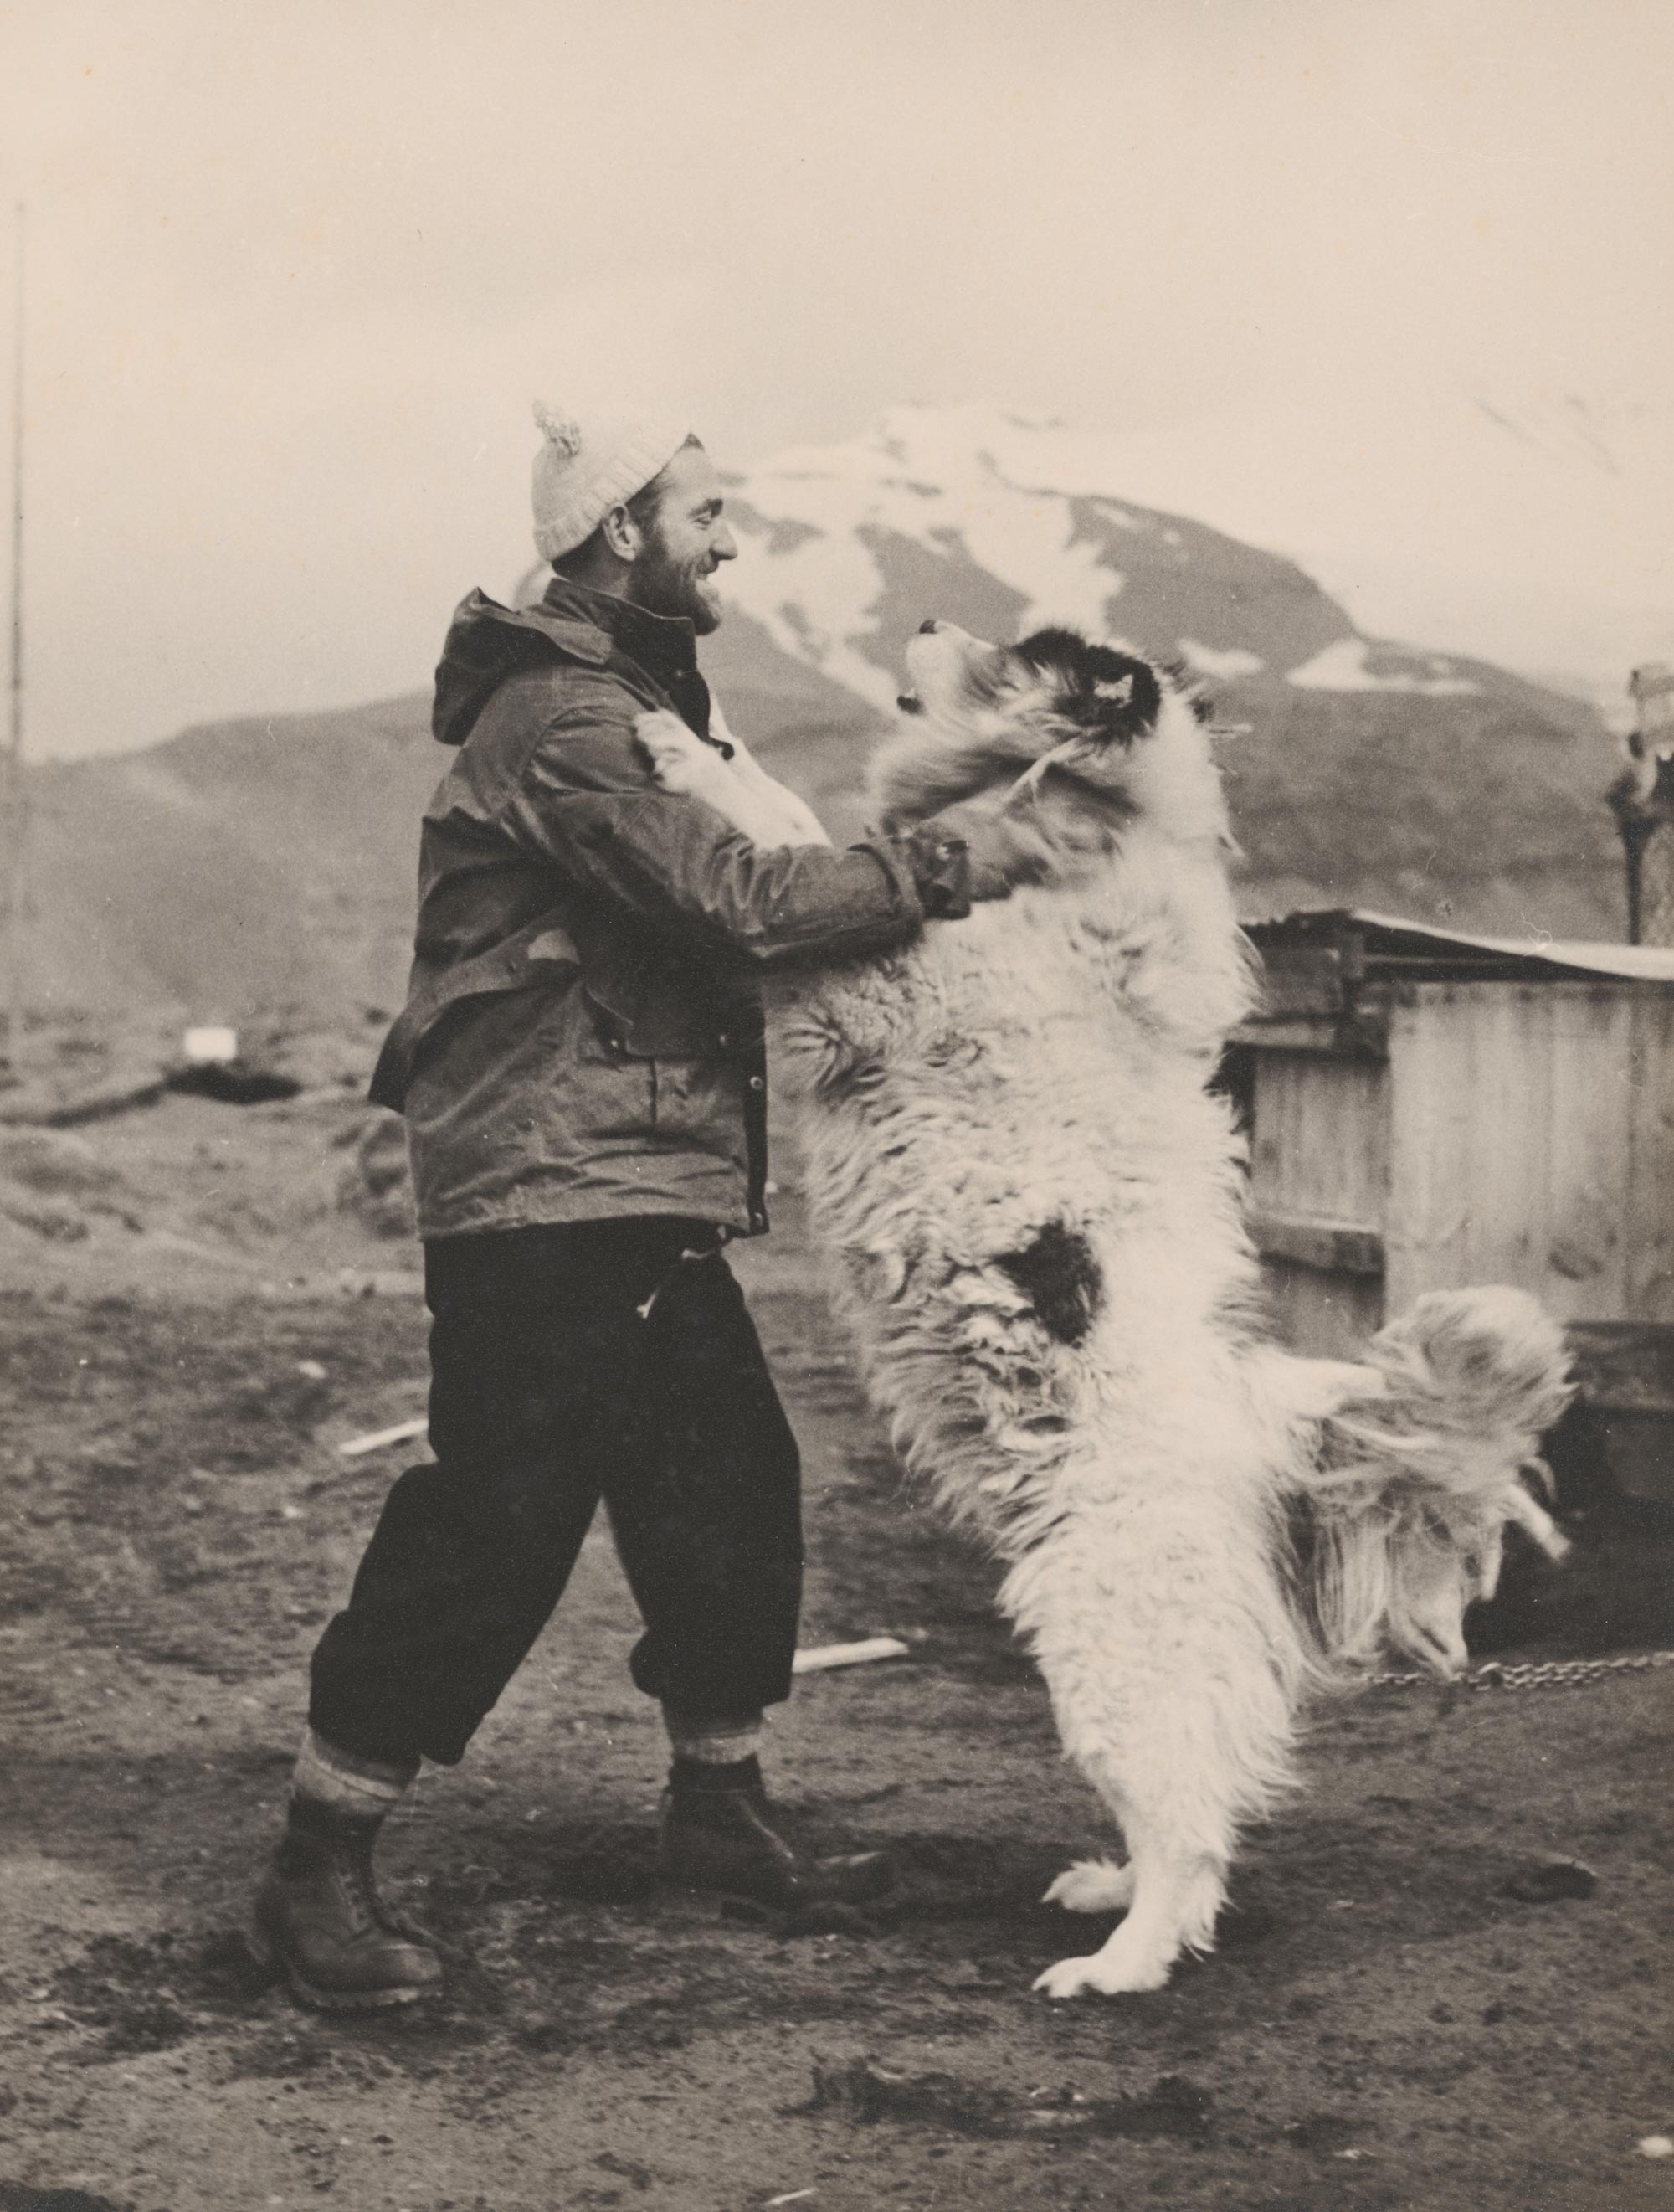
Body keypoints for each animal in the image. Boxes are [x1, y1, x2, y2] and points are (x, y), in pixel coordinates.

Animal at [632, 628, 1574, 2008]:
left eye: (1020, 653)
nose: (927, 622)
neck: (1078, 846)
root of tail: (1262, 1429)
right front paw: (709, 738)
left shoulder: (876, 975)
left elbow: (788, 825)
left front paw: (685, 749)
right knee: (1188, 1810)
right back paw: (1111, 1892)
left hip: (1109, 1633)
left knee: (1189, 1818)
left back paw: (1119, 1960)